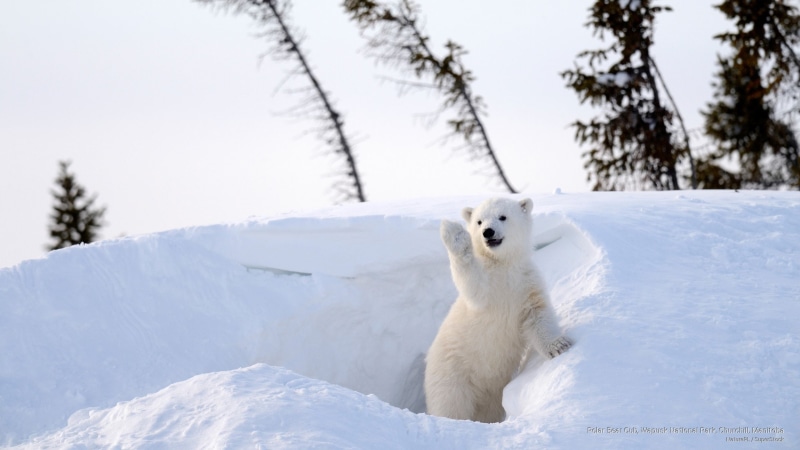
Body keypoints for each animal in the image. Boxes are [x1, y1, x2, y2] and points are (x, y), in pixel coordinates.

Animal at [424, 197, 572, 423]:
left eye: (503, 216)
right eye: (478, 221)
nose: (488, 232)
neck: (503, 265)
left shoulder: (526, 284)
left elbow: (537, 315)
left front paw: (559, 346)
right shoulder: (487, 289)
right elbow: (473, 285)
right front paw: (455, 233)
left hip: (490, 393)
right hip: (452, 374)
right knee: (451, 405)